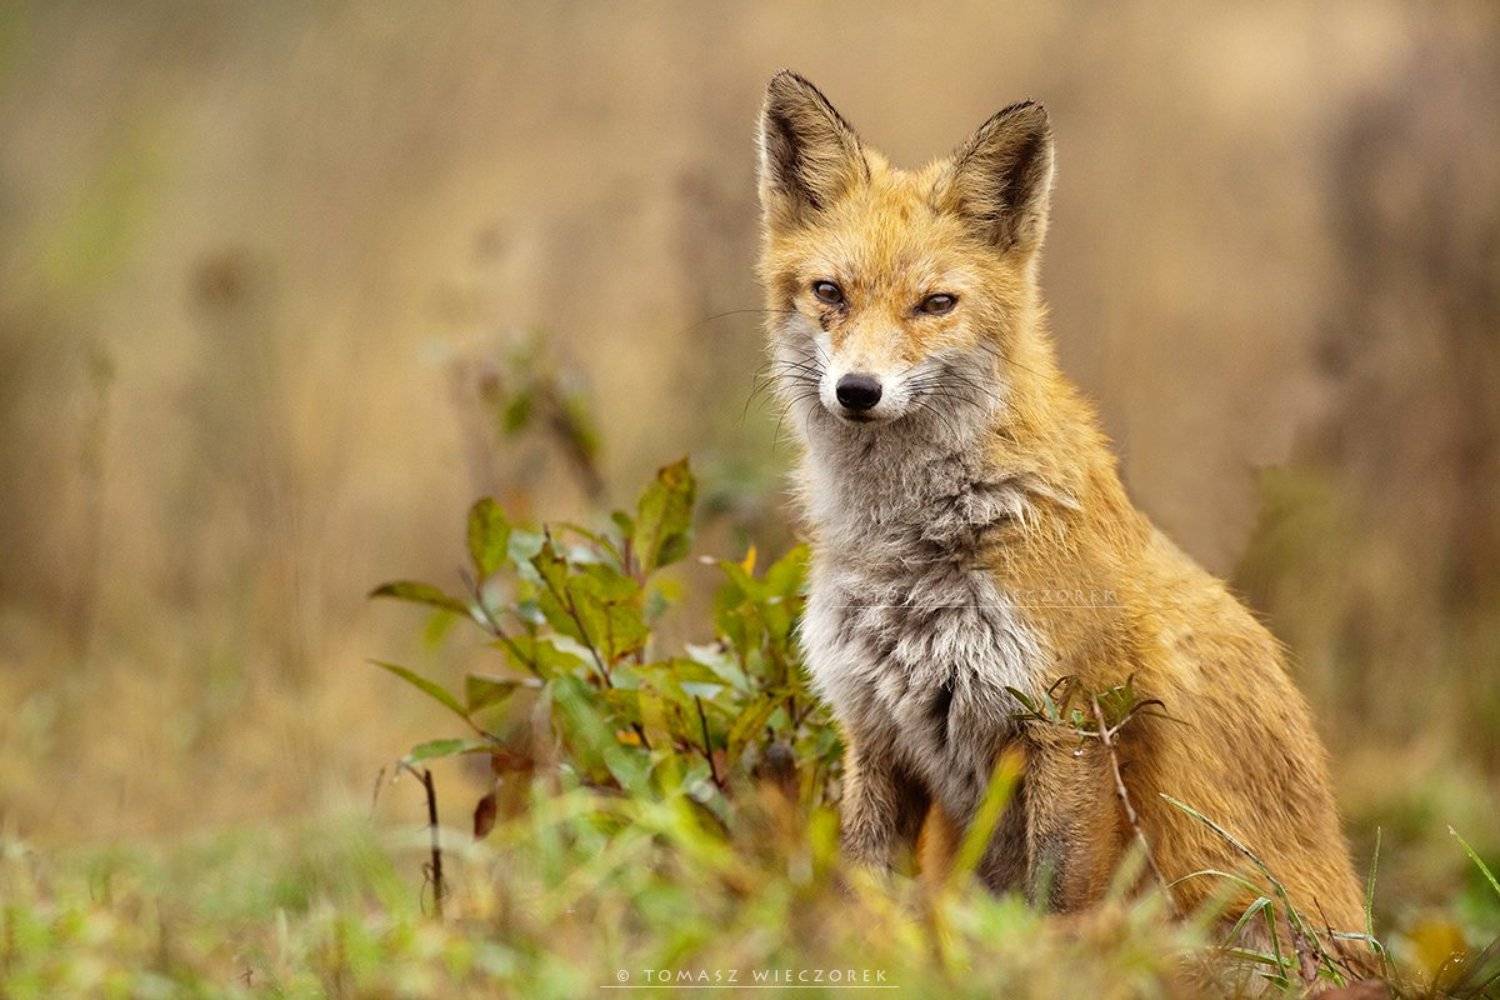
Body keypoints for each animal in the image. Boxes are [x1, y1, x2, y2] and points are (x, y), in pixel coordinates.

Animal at [756, 70, 1366, 933]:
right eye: (829, 292)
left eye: (936, 304)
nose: (858, 391)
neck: (913, 546)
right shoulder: (875, 727)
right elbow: (866, 894)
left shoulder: (1071, 727)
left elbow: (1053, 910)